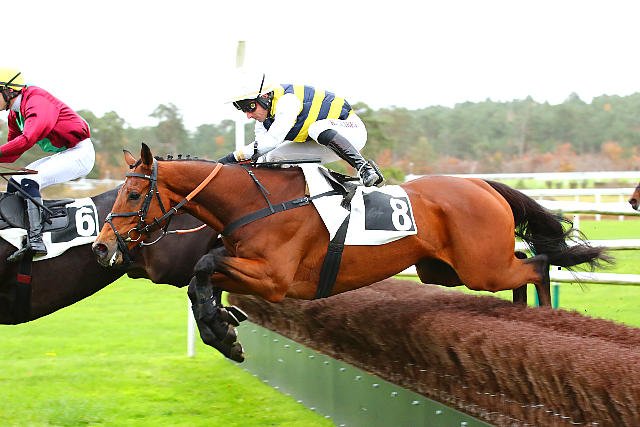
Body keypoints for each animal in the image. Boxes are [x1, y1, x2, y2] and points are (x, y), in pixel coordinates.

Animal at [92, 144, 609, 358]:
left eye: (133, 195)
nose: (101, 248)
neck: (256, 202)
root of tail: (482, 184)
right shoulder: (247, 269)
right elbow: (201, 281)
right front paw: (224, 327)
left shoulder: (274, 279)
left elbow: (204, 265)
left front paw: (223, 330)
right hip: (443, 270)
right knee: (525, 268)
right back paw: (521, 319)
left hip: (481, 268)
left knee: (537, 265)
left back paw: (545, 321)